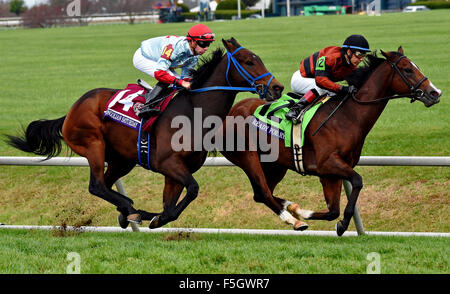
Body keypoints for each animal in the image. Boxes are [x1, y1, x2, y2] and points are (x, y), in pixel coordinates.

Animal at [5, 37, 284, 230]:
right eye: (249, 61)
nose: (278, 88)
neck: (194, 111)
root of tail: (71, 110)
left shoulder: (175, 173)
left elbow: (172, 207)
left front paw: (154, 218)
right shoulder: (167, 164)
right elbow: (193, 189)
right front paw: (146, 216)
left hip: (122, 160)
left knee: (106, 184)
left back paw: (126, 210)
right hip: (92, 143)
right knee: (96, 185)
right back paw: (128, 206)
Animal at [220, 48, 442, 237]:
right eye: (407, 69)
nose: (435, 93)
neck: (348, 117)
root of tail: (230, 112)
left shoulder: (330, 174)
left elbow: (333, 210)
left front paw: (314, 215)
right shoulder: (328, 163)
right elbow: (357, 181)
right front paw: (337, 222)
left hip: (276, 165)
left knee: (262, 193)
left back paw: (293, 209)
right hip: (248, 158)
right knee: (263, 192)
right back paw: (294, 219)